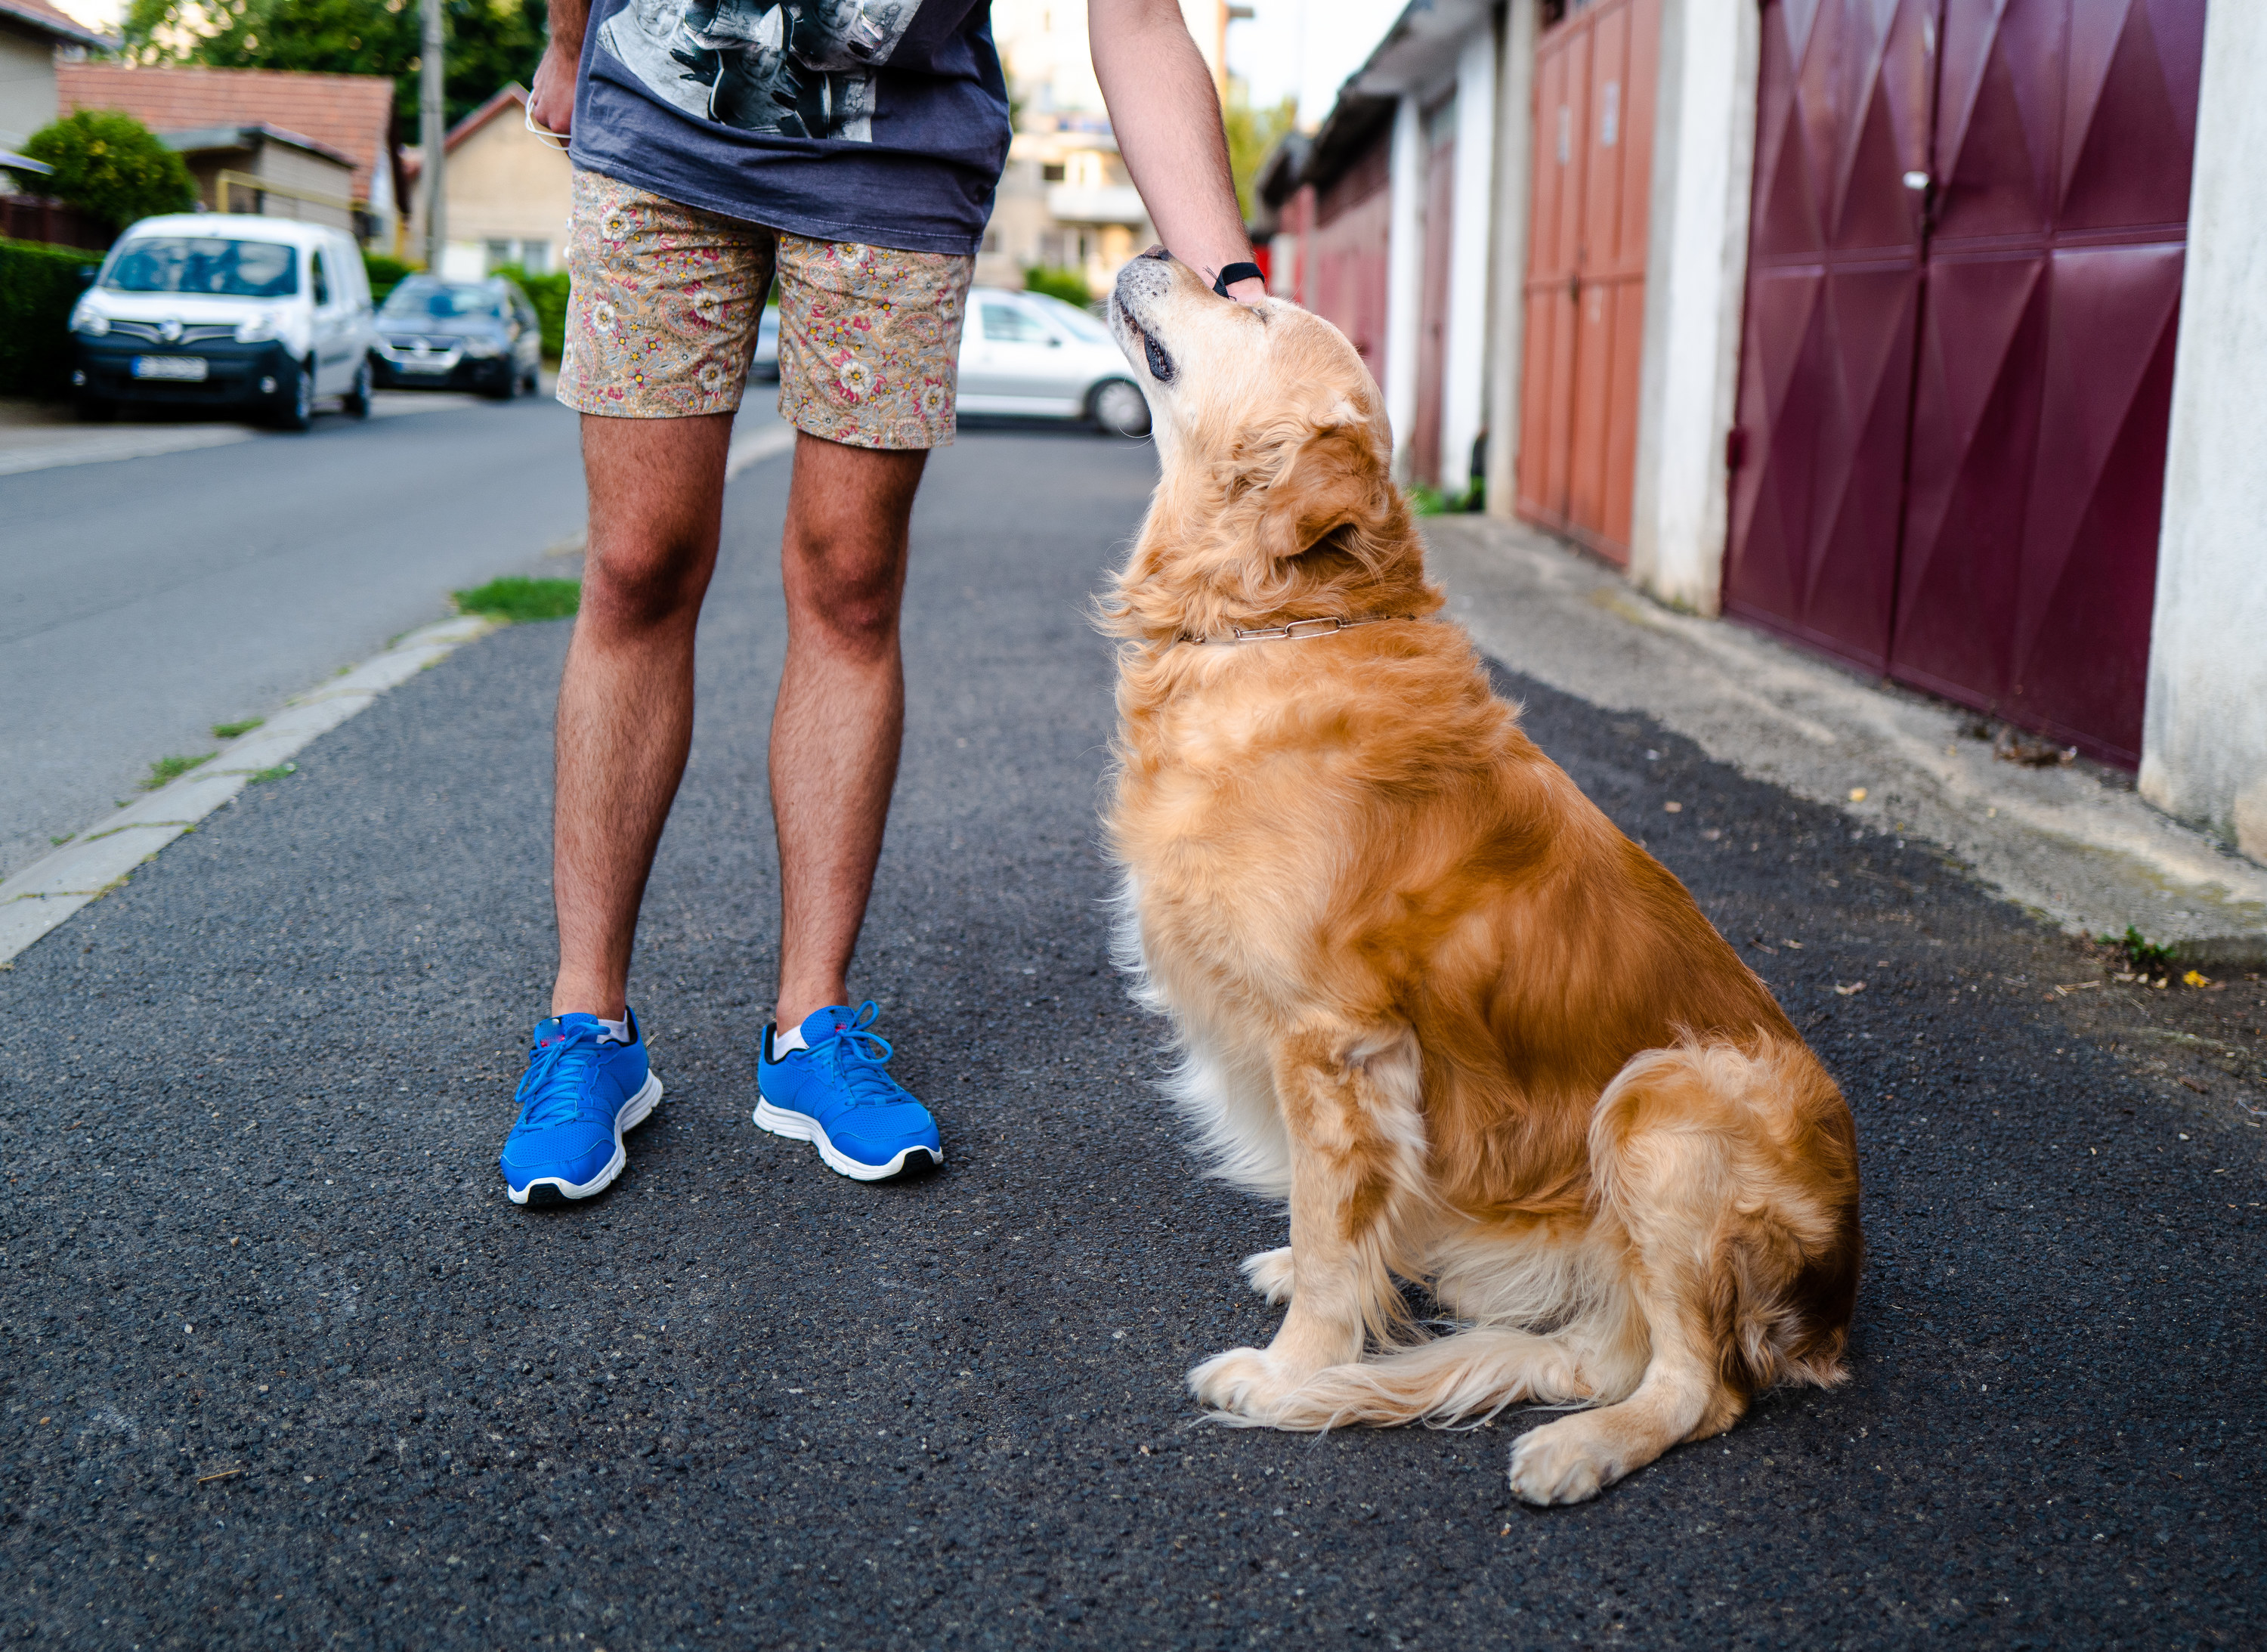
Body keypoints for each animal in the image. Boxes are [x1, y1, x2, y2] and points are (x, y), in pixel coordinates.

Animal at [1097, 251, 1859, 1505]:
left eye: (1250, 310)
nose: (1161, 254)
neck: (1283, 623)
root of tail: (1836, 1300)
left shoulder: (1337, 1040)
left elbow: (1331, 1227)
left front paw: (1294, 1364)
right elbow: (1337, 1217)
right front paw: (1321, 1290)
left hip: (1664, 1099)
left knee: (1696, 1388)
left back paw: (1577, 1447)